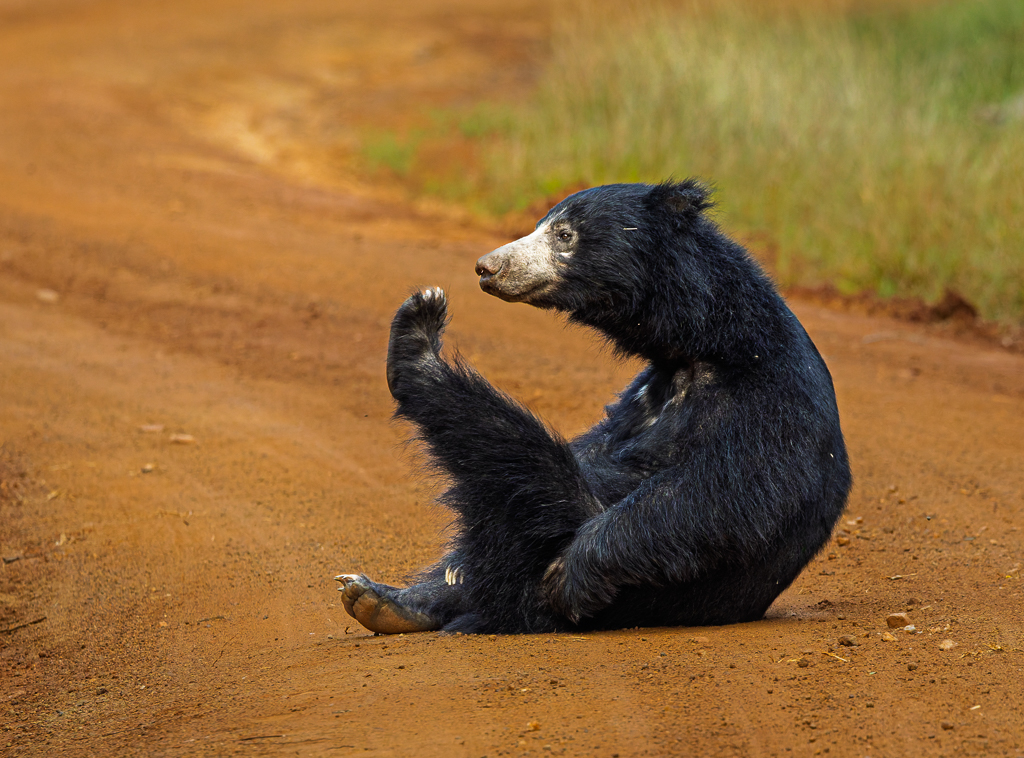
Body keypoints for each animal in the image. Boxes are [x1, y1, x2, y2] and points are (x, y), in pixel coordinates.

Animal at [335, 179, 851, 635]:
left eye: (564, 235)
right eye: (540, 225)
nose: (486, 267)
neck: (699, 348)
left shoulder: (769, 397)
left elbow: (725, 491)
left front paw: (570, 574)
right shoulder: (641, 397)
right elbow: (600, 450)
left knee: (521, 463)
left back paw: (418, 342)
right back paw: (384, 599)